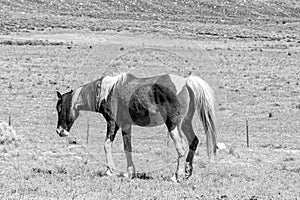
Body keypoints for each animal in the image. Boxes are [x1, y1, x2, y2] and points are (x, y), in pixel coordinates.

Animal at [55, 72, 216, 182]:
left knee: (181, 147)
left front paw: (110, 171)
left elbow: (106, 145)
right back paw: (187, 173)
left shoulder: (113, 123)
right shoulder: (126, 125)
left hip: (174, 125)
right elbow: (128, 148)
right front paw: (130, 173)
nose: (60, 131)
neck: (108, 91)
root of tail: (186, 82)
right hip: (185, 123)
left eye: (59, 108)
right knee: (193, 142)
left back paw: (176, 176)